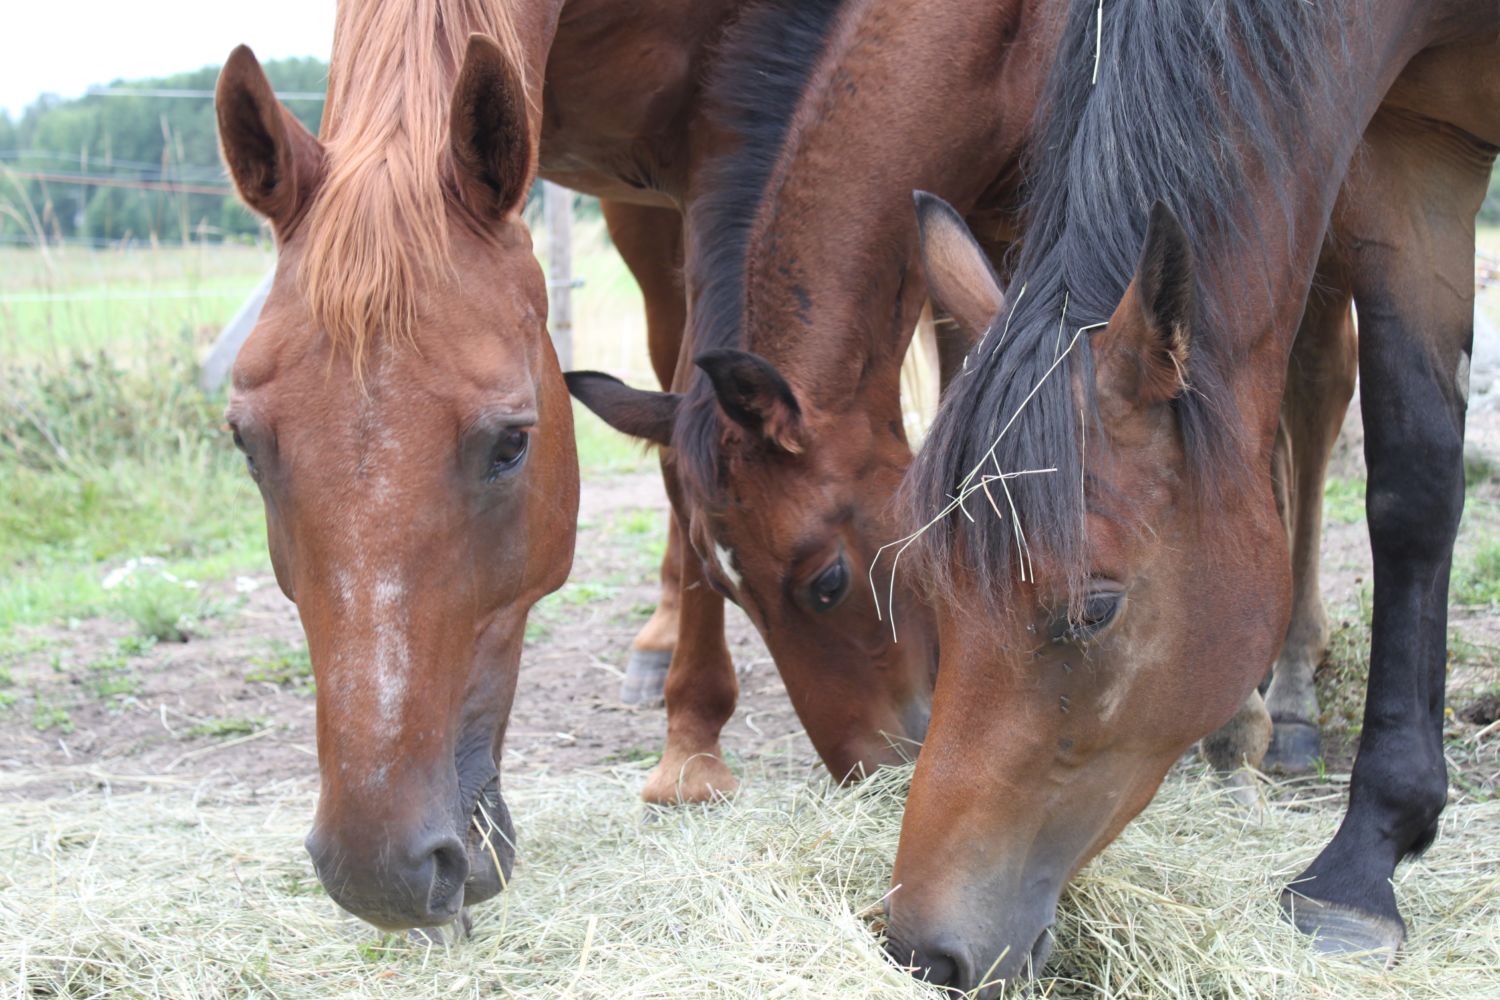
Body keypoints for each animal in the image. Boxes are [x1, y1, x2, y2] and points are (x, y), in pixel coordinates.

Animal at [882, 0, 1500, 989]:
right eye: (934, 590)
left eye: (1094, 609)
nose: (923, 951)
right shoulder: (1417, 155)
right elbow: (1414, 479)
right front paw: (1371, 855)